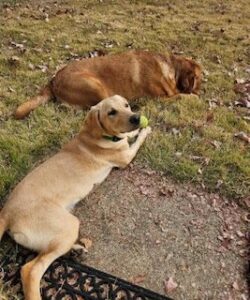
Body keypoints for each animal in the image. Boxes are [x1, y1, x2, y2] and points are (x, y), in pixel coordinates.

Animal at [0, 95, 150, 300]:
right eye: (111, 112)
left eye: (126, 105)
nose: (136, 117)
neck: (96, 135)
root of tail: (7, 212)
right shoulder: (126, 157)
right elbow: (136, 140)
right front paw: (145, 130)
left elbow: (129, 136)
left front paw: (138, 128)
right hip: (69, 224)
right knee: (31, 270)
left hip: (59, 234)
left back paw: (75, 250)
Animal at [14, 49, 201, 119]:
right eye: (199, 78)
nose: (201, 90)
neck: (171, 68)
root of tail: (53, 79)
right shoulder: (159, 98)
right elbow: (181, 96)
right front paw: (193, 97)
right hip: (96, 86)